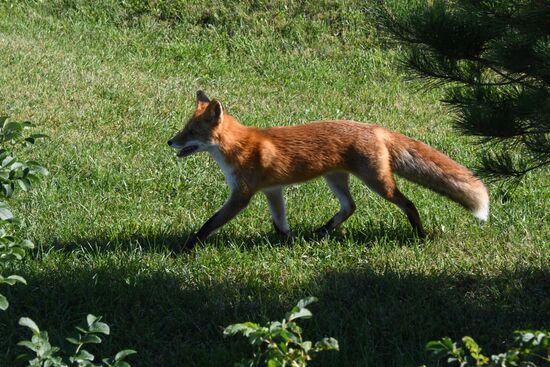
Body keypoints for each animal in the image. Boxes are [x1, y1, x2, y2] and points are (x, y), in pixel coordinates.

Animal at [168, 91, 492, 250]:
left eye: (191, 131)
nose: (170, 141)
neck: (239, 146)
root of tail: (374, 127)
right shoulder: (273, 190)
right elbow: (280, 223)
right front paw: (287, 244)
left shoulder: (241, 196)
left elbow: (210, 223)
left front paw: (187, 247)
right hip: (335, 179)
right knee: (350, 207)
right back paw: (321, 231)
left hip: (378, 183)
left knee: (408, 203)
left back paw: (420, 233)